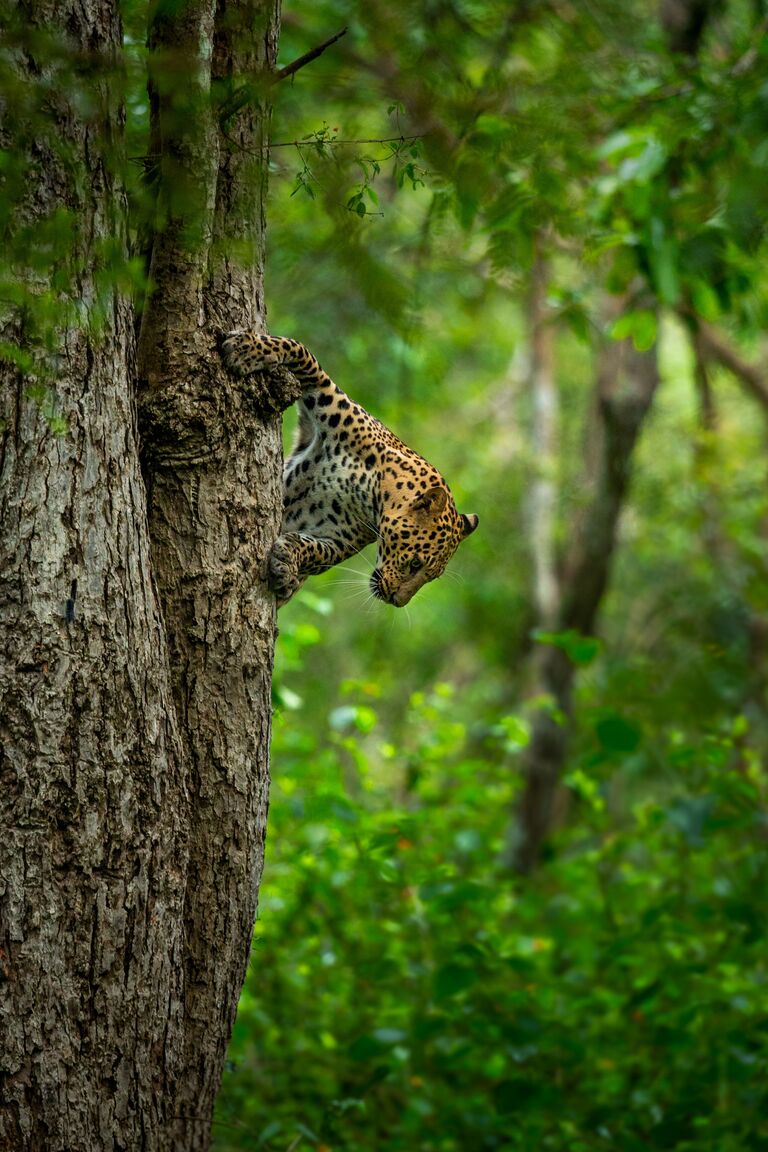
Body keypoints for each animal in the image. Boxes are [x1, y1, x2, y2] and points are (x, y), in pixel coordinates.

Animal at [218, 331, 476, 608]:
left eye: (432, 576)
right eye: (415, 563)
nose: (398, 601)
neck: (372, 487)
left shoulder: (339, 542)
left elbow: (315, 552)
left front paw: (287, 564)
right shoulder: (326, 399)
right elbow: (302, 352)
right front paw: (246, 349)